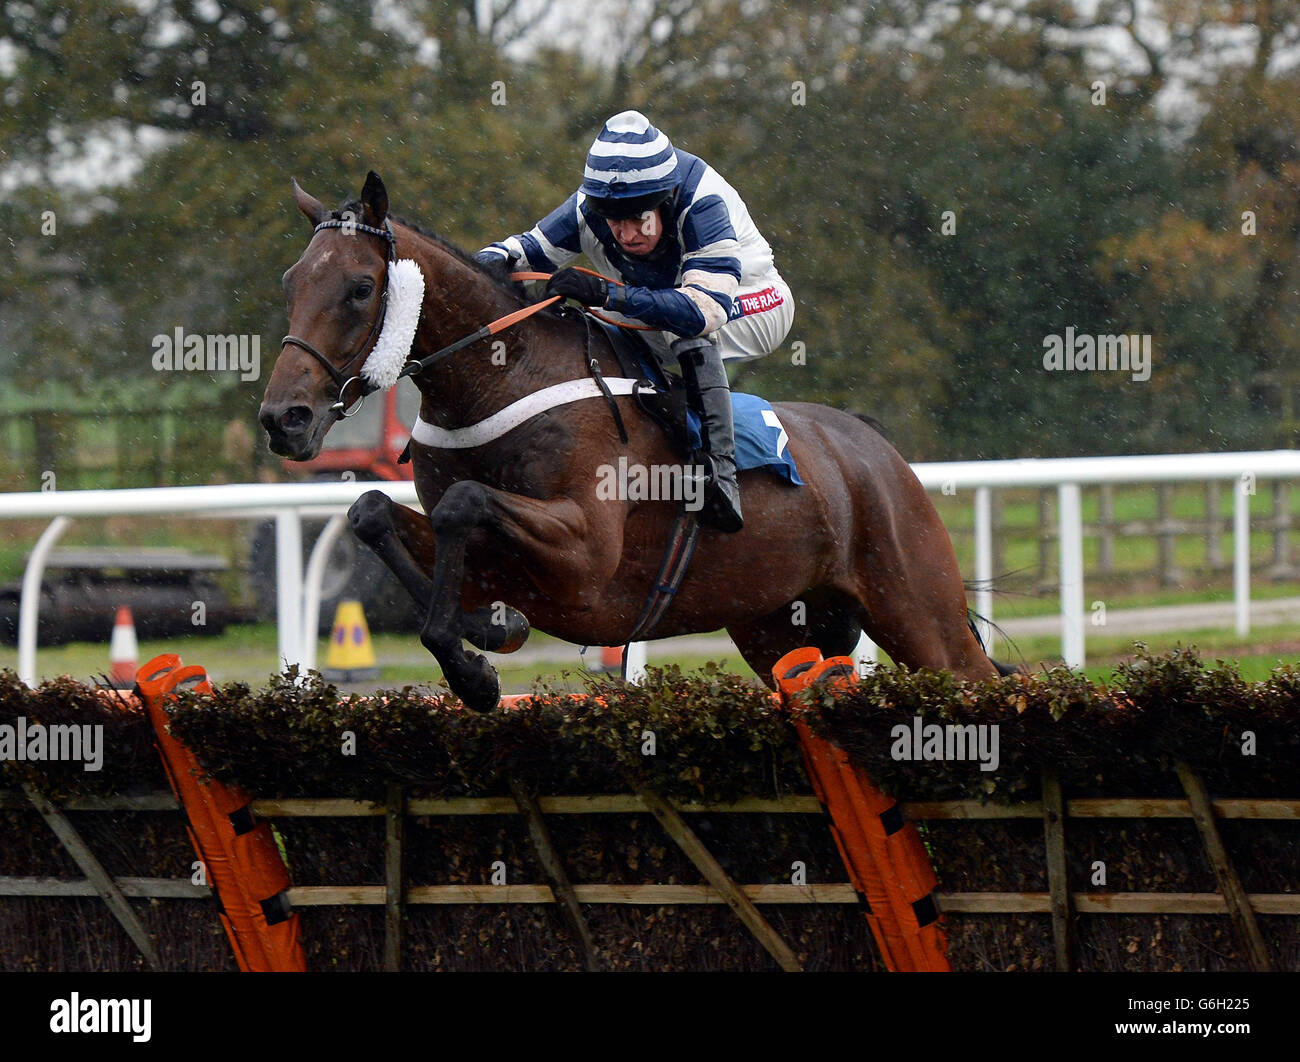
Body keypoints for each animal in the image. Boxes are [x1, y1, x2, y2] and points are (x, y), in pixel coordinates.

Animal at [258, 170, 998, 707]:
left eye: (360, 288)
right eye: (292, 282)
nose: (283, 417)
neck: (504, 378)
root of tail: (874, 446)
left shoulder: (586, 556)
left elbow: (463, 503)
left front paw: (476, 667)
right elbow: (373, 512)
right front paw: (489, 626)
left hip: (920, 613)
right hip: (778, 629)